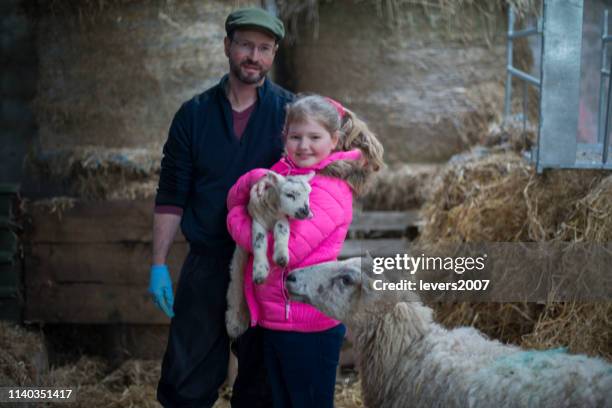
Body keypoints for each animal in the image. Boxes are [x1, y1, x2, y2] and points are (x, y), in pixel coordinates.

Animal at [225, 171, 314, 340]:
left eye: (308, 195)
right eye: (290, 194)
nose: (305, 211)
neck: (273, 212)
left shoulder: (282, 218)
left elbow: (282, 231)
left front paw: (281, 257)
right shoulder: (257, 221)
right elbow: (259, 241)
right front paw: (260, 272)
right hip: (238, 260)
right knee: (236, 282)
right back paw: (234, 322)